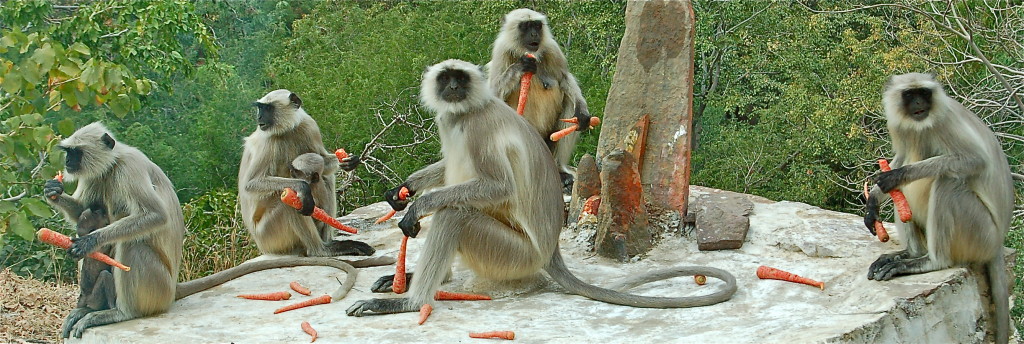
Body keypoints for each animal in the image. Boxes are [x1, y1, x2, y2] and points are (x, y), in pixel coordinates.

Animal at [43, 121, 387, 337]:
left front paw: (88, 242)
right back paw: (87, 305)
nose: (67, 163)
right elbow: (83, 214)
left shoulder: (128, 170)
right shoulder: (95, 176)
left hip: (156, 285)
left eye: (74, 151)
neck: (111, 166)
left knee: (132, 244)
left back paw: (119, 313)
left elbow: (154, 217)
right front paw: (53, 192)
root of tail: (172, 289)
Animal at [240, 90, 376, 256]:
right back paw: (321, 250)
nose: (259, 117)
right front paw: (303, 187)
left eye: (267, 109)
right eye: (261, 108)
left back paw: (329, 242)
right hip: (269, 236)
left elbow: (322, 161)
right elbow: (251, 184)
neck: (287, 129)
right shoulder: (268, 141)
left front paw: (349, 161)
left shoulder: (309, 125)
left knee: (326, 177)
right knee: (287, 198)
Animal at [346, 59, 737, 317]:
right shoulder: (451, 120)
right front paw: (404, 190)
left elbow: (498, 187)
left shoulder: (479, 128)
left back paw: (411, 301)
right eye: (446, 79)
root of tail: (550, 253)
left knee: (455, 214)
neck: (466, 111)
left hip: (515, 255)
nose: (454, 89)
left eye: (461, 79)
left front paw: (418, 205)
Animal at [485, 8, 593, 189]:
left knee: (568, 102)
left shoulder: (552, 48)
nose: (534, 34)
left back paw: (559, 171)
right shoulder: (501, 51)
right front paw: (520, 66)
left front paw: (582, 112)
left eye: (536, 25)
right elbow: (493, 94)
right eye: (525, 26)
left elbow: (564, 78)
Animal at [864, 73, 1015, 344]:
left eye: (924, 93)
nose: (918, 104)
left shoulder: (944, 121)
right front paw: (874, 201)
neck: (921, 124)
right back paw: (910, 254)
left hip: (980, 232)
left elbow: (974, 160)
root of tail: (997, 243)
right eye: (909, 94)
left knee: (948, 182)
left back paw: (930, 261)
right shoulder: (901, 126)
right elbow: (899, 158)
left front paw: (897, 175)